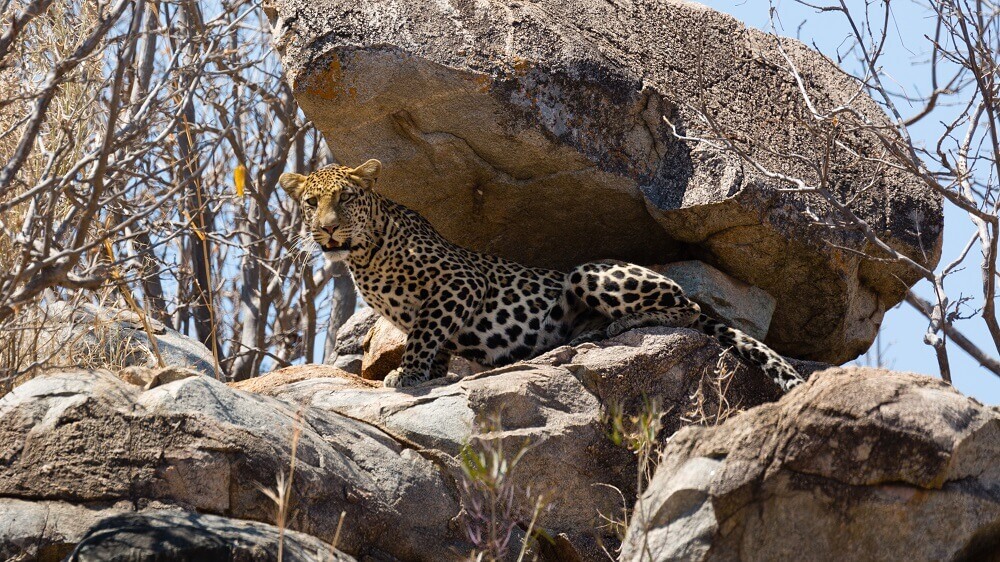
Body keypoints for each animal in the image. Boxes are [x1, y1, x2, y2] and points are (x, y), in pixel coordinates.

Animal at [280, 160, 804, 392]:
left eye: (345, 198)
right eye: (311, 203)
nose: (327, 229)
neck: (365, 257)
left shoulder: (459, 284)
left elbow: (425, 335)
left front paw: (406, 375)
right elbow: (435, 342)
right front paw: (428, 373)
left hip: (589, 273)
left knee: (689, 308)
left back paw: (613, 325)